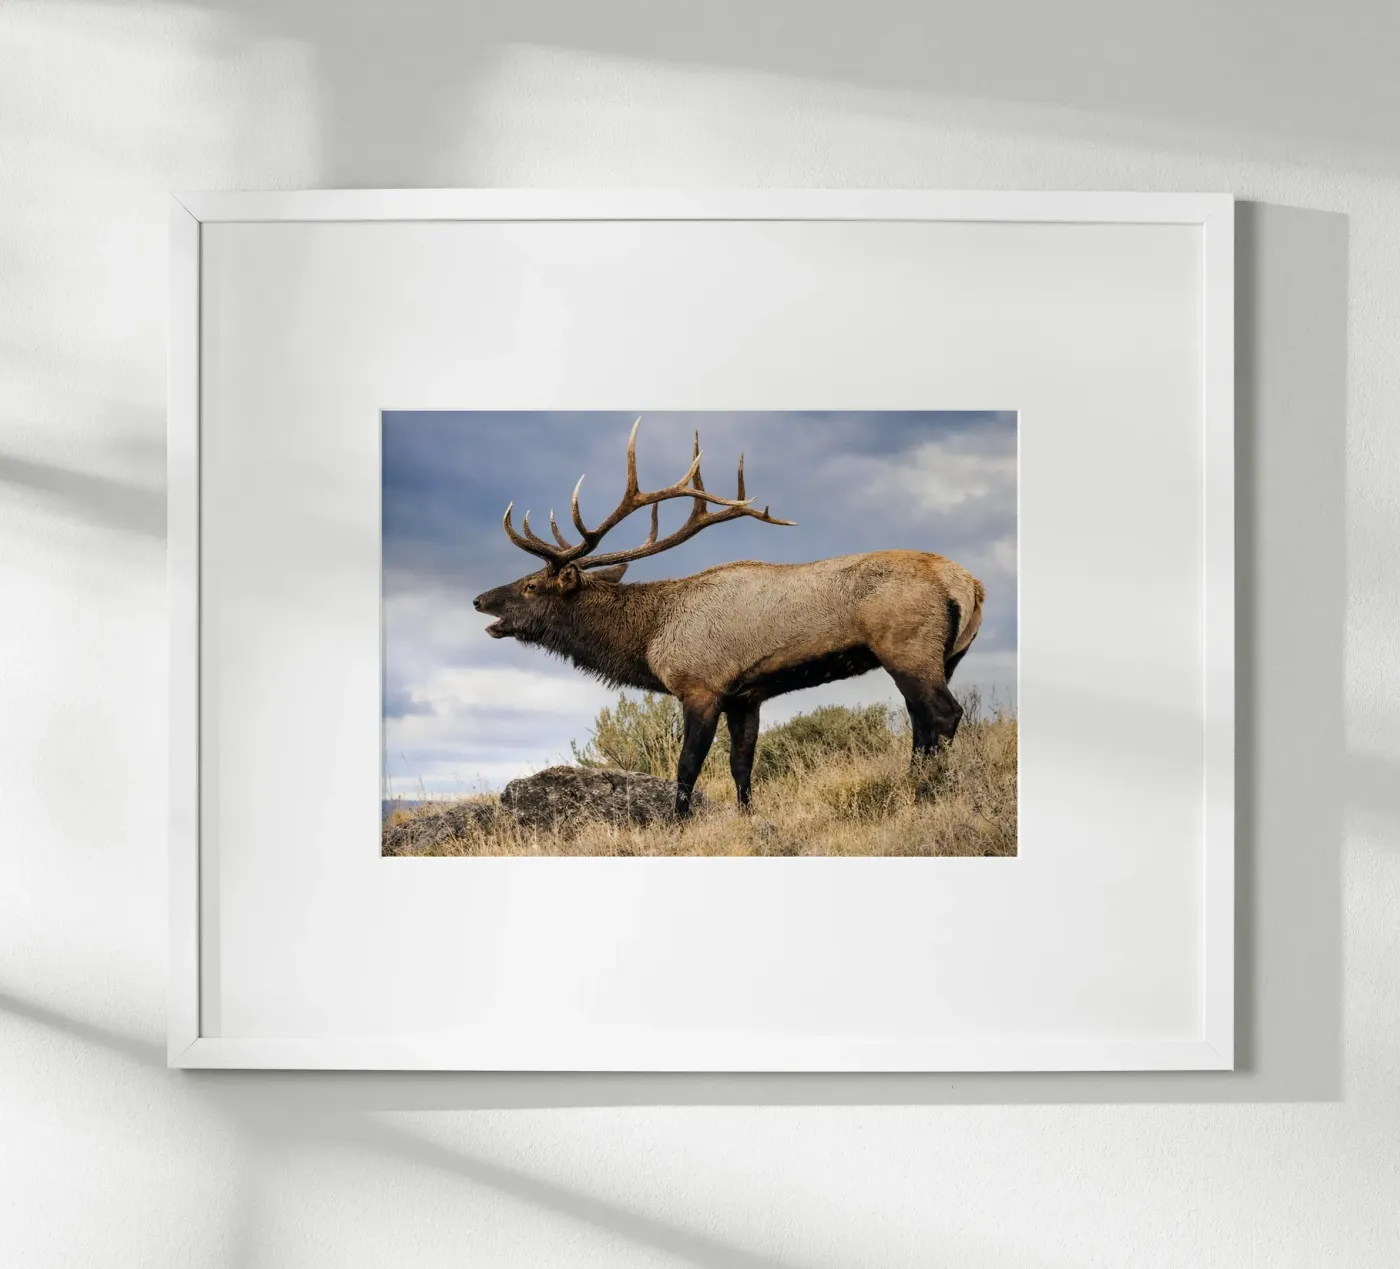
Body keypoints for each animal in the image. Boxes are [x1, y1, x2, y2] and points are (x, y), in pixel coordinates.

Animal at [472, 419, 985, 818]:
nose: (479, 600)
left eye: (531, 585)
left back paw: (925, 792)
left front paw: (677, 824)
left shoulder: (701, 686)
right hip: (948, 656)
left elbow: (687, 767)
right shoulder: (746, 697)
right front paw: (745, 816)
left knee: (943, 714)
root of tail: (970, 586)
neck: (650, 639)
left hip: (907, 647)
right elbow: (742, 766)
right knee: (921, 721)